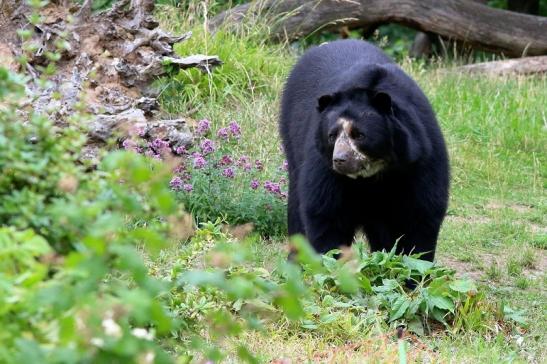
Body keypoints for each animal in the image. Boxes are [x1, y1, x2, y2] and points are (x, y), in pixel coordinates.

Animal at [282, 39, 450, 262]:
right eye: (332, 135)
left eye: (359, 135)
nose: (340, 159)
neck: (375, 173)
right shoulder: (323, 166)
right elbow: (325, 213)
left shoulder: (421, 158)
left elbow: (420, 216)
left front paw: (411, 267)